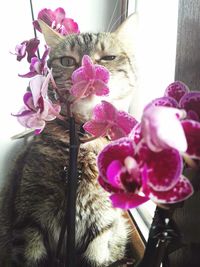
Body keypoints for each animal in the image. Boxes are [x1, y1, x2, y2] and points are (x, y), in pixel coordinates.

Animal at [0, 13, 138, 267]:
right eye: (67, 61)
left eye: (108, 58)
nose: (87, 70)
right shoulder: (28, 221)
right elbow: (30, 255)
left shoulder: (101, 229)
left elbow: (96, 256)